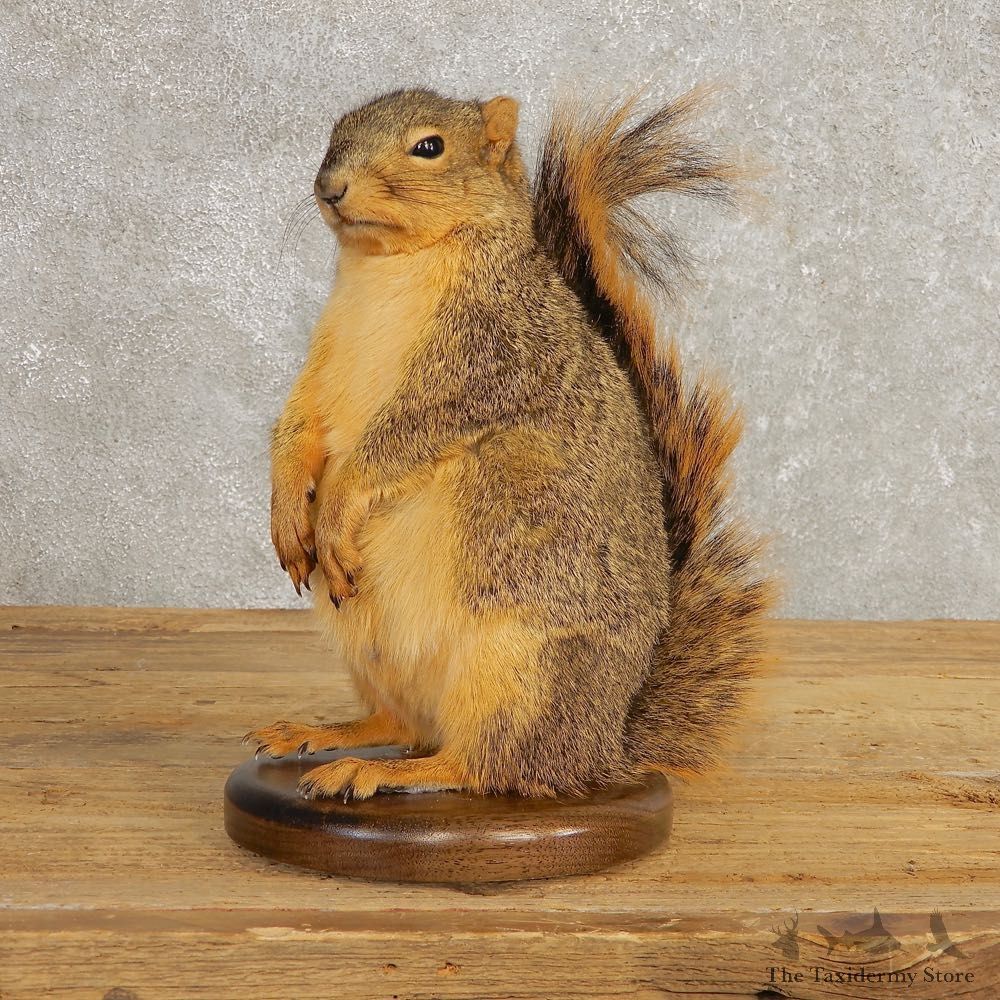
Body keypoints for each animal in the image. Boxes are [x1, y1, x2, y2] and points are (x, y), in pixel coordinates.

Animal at [246, 87, 772, 800]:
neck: (386, 267)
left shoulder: (485, 360)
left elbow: (400, 440)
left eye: (430, 146)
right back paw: (325, 735)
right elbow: (297, 423)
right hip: (369, 651)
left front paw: (331, 511)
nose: (330, 187)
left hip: (521, 672)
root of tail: (603, 747)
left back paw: (380, 771)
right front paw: (286, 513)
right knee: (402, 723)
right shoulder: (323, 360)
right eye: (336, 133)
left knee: (483, 764)